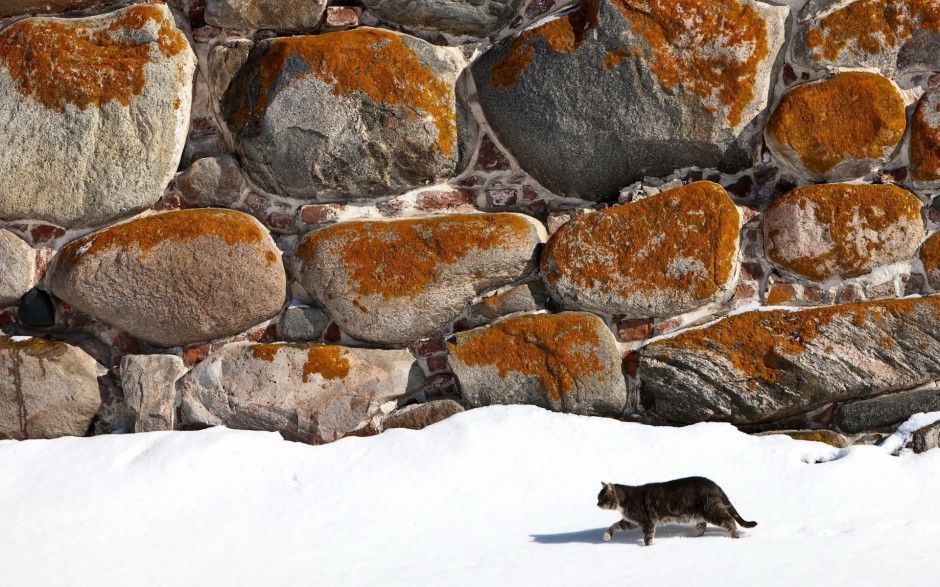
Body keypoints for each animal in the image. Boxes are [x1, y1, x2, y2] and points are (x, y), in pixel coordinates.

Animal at [600, 478, 760, 548]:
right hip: (698, 515)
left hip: (712, 511)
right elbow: (615, 525)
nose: (597, 504)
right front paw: (607, 535)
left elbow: (648, 537)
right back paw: (692, 538)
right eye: (598, 497)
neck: (624, 501)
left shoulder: (646, 521)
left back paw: (735, 536)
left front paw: (649, 548)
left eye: (602, 498)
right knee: (702, 526)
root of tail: (715, 485)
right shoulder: (631, 521)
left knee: (730, 520)